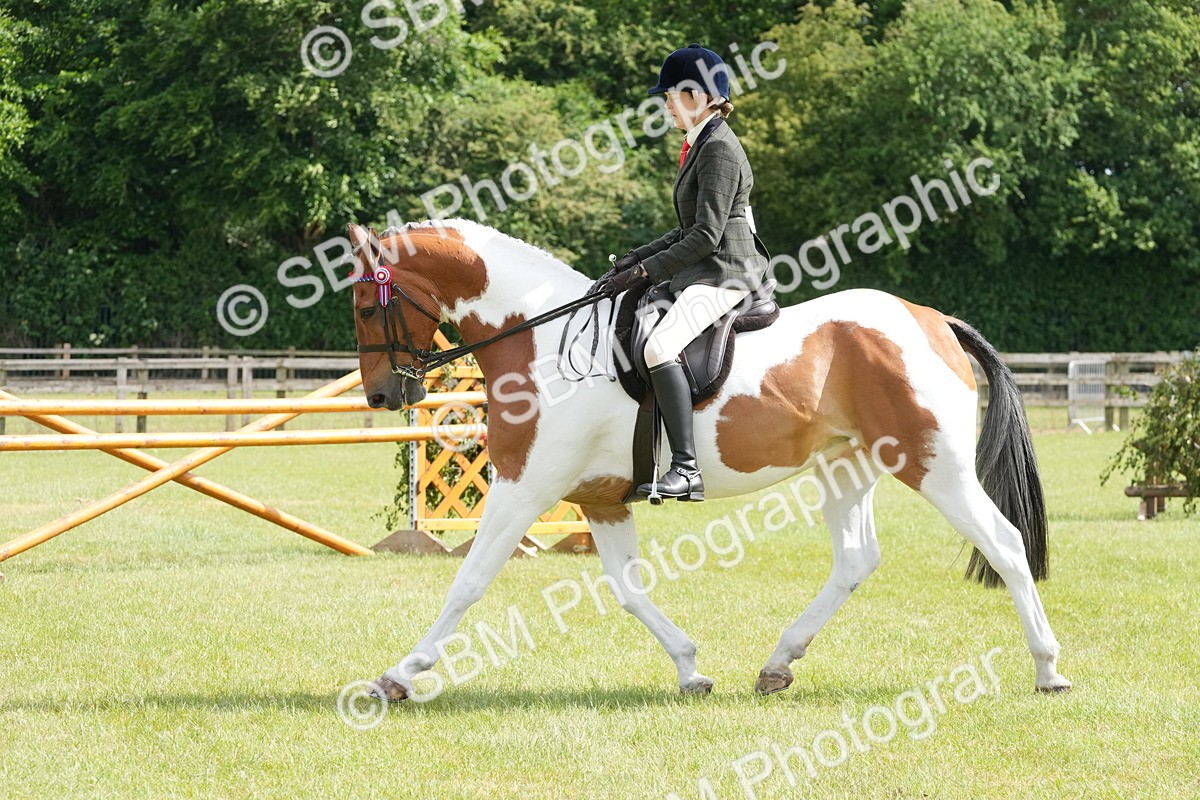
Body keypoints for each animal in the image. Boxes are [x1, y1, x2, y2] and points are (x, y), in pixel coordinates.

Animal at [347, 218, 1072, 698]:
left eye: (364, 307)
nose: (383, 394)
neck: (543, 341)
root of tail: (932, 319)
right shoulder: (599, 499)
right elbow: (629, 590)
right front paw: (691, 668)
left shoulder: (525, 486)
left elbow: (468, 581)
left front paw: (397, 675)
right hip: (845, 466)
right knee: (856, 560)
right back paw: (778, 663)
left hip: (934, 465)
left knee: (1005, 544)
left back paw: (1048, 668)